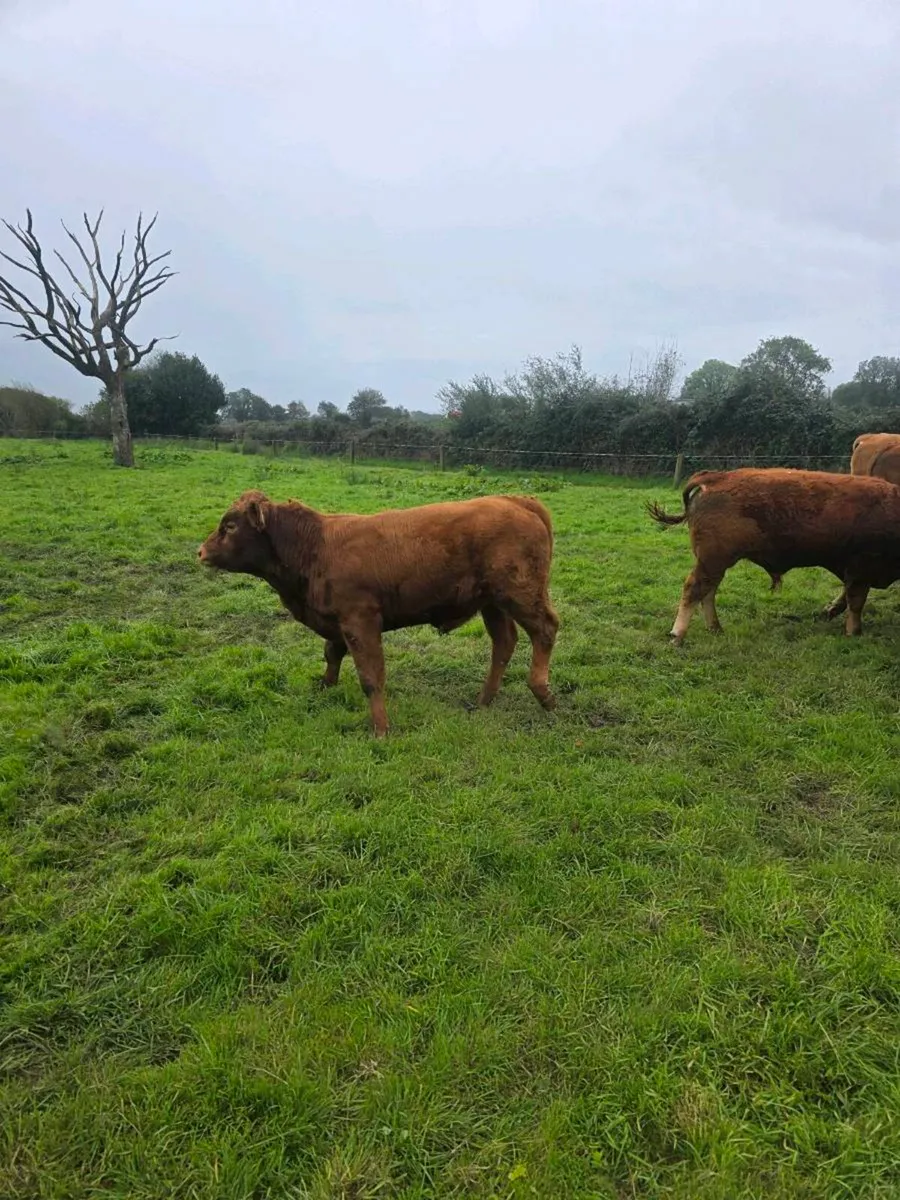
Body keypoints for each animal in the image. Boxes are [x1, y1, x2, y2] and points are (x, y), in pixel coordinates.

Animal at [198, 489, 559, 736]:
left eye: (230, 526)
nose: (200, 551)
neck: (316, 546)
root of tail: (515, 500)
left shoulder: (361, 621)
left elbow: (371, 678)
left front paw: (381, 729)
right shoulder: (339, 622)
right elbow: (331, 653)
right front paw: (326, 685)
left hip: (521, 594)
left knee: (545, 629)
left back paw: (543, 694)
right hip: (492, 603)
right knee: (504, 643)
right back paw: (485, 699)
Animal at [648, 467, 900, 643]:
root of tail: (717, 478)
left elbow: (847, 597)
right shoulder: (861, 569)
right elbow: (855, 602)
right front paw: (854, 631)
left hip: (715, 564)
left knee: (708, 592)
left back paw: (715, 628)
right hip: (713, 561)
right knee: (694, 589)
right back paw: (678, 635)